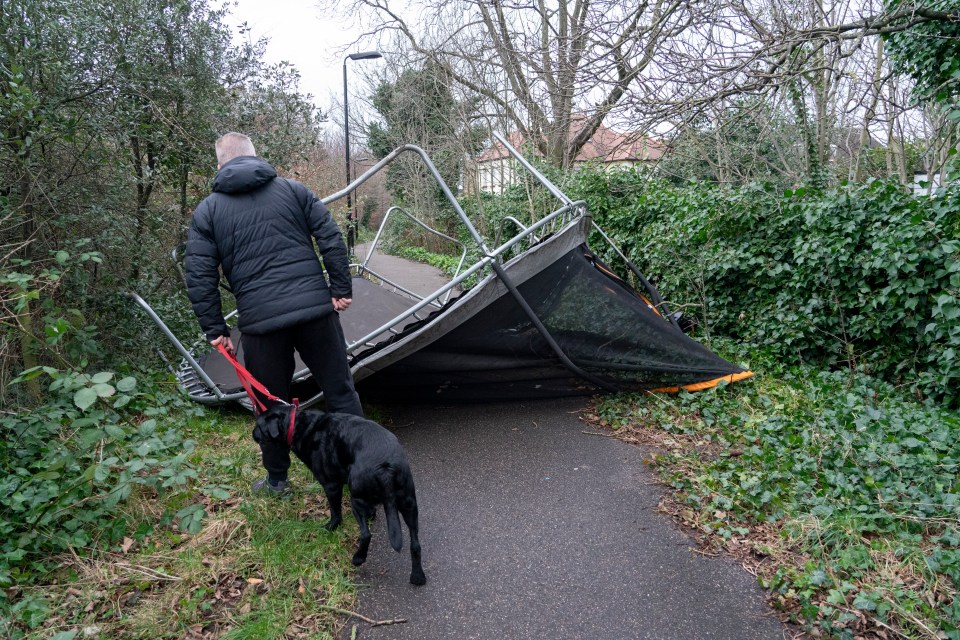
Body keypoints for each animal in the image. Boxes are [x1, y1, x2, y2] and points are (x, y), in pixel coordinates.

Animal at [253, 404, 426, 584]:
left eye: (258, 425)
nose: (253, 434)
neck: (298, 425)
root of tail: (386, 467)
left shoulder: (331, 486)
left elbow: (335, 512)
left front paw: (331, 527)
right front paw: (371, 515)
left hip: (357, 501)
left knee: (366, 534)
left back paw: (358, 558)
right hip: (409, 504)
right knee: (415, 544)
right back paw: (417, 576)